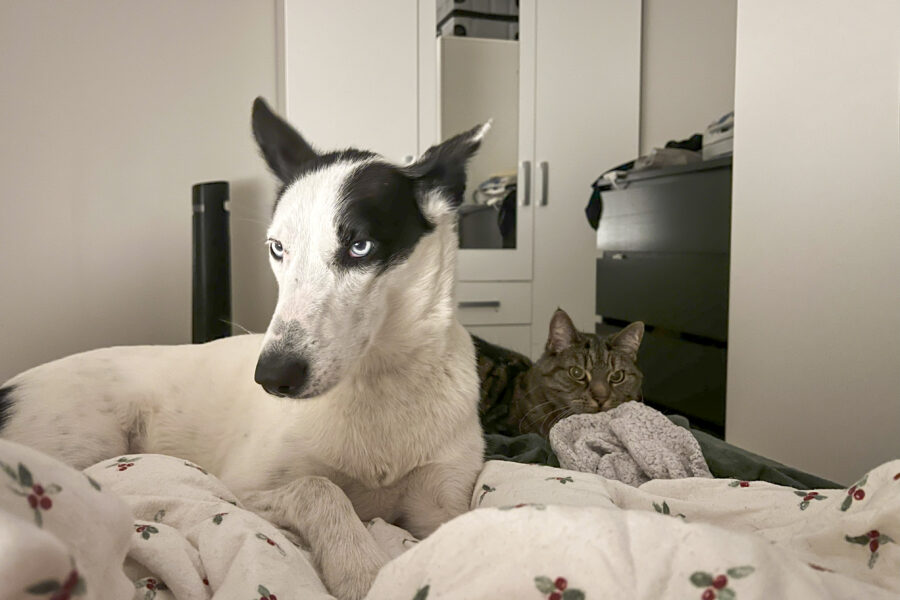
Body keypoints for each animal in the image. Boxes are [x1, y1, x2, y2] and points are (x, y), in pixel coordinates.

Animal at [0, 99, 488, 600]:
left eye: (360, 246)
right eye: (277, 248)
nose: (272, 377)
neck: (381, 382)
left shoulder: (442, 505)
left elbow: (463, 531)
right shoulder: (239, 490)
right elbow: (319, 487)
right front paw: (359, 565)